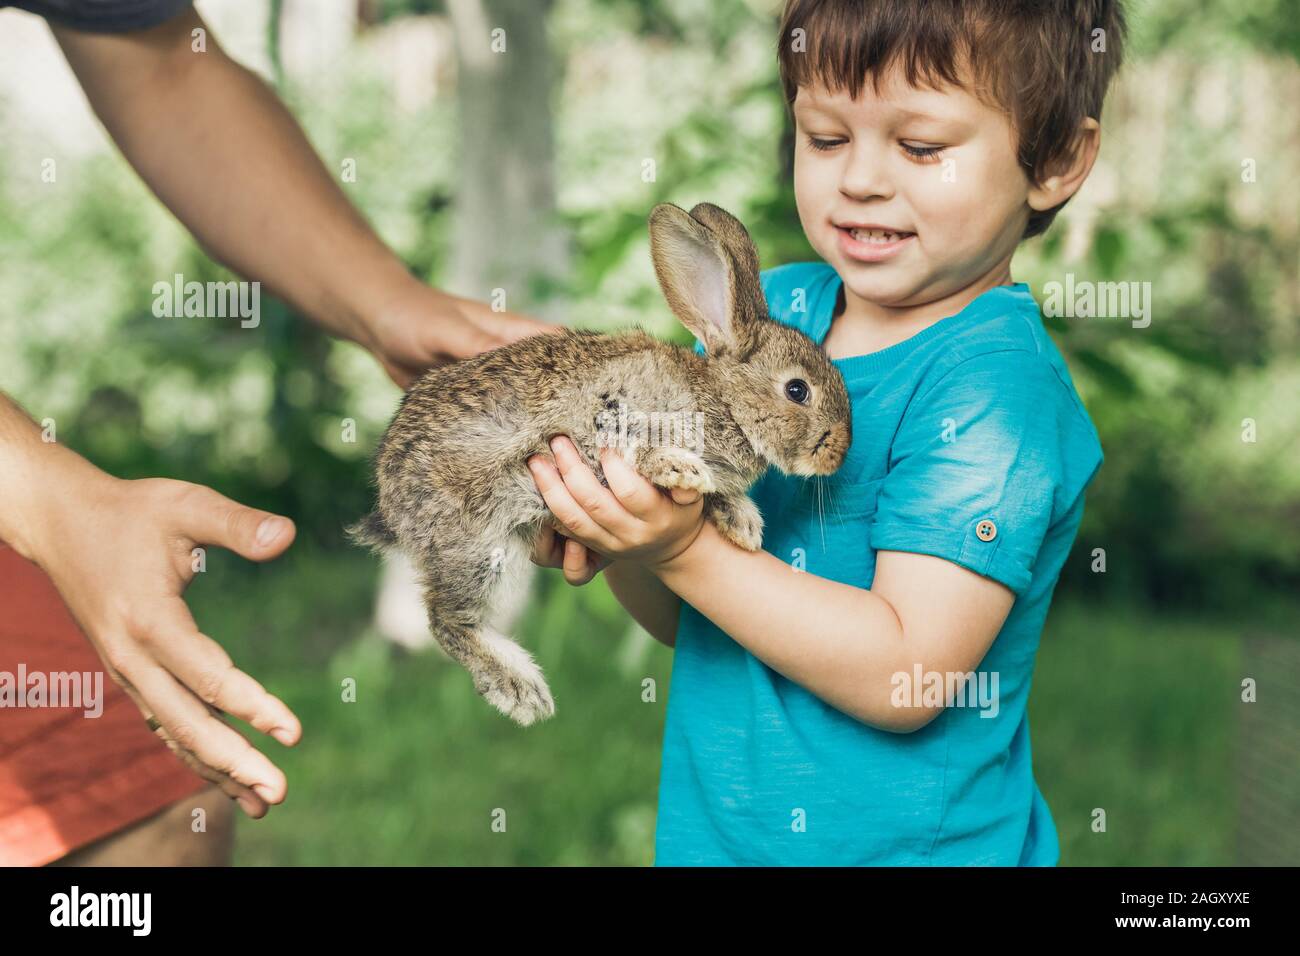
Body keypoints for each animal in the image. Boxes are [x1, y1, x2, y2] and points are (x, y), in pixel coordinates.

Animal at [349, 202, 851, 726]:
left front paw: (742, 522)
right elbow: (643, 446)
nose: (838, 453)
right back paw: (520, 689)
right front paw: (682, 468)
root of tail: (389, 504)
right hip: (476, 543)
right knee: (445, 619)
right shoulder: (616, 411)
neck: (724, 400)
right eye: (797, 390)